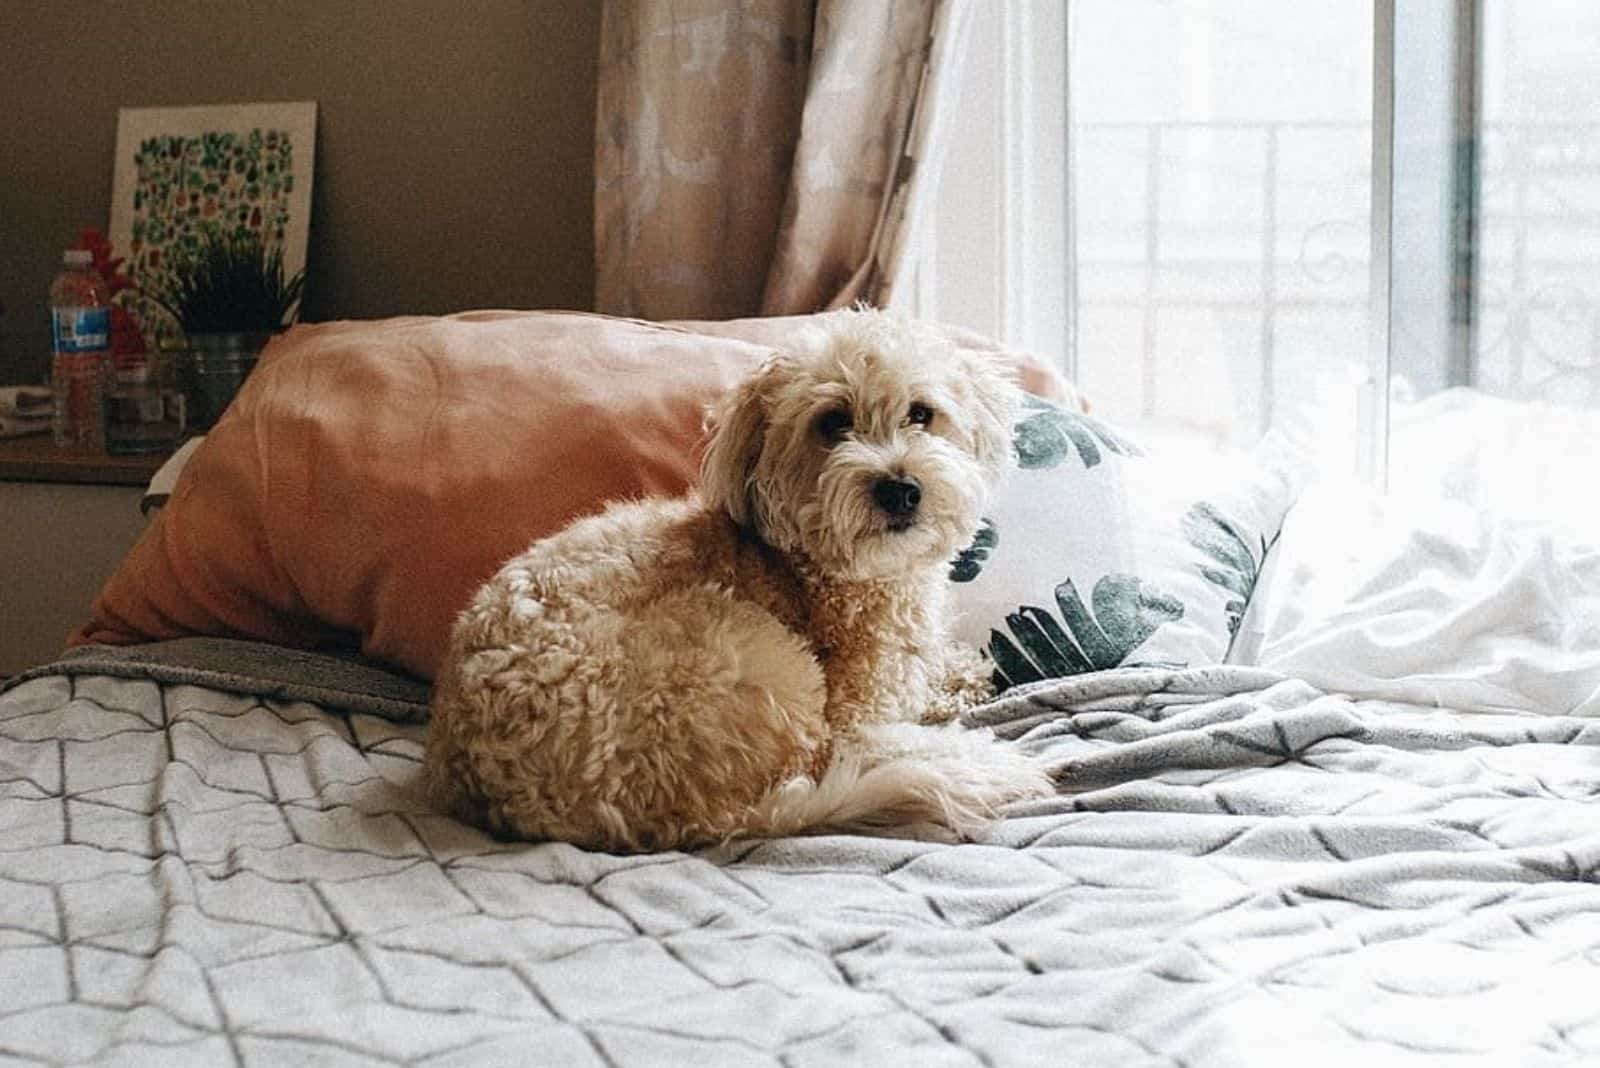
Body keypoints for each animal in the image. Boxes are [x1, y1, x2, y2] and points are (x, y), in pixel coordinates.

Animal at [419, 308, 1056, 850]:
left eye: (921, 413)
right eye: (832, 422)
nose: (900, 489)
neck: (819, 568)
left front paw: (963, 674)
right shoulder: (859, 711)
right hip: (767, 662)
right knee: (820, 757)